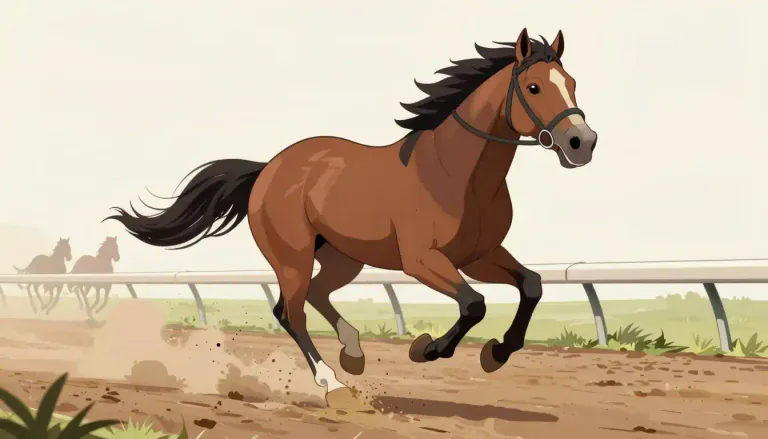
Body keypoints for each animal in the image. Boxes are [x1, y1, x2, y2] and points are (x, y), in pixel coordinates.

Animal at [106, 28, 597, 403]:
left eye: (572, 82)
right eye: (534, 87)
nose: (582, 143)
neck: (458, 175)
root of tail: (268, 169)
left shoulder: (480, 254)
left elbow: (531, 285)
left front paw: (496, 353)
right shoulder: (422, 260)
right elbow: (474, 304)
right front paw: (426, 350)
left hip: (344, 257)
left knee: (318, 294)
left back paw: (353, 352)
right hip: (293, 256)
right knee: (291, 311)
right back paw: (333, 382)